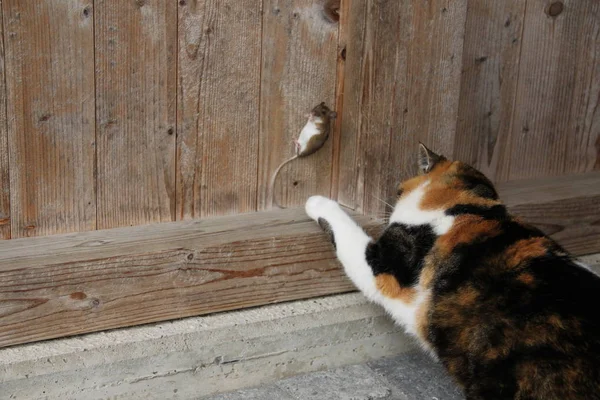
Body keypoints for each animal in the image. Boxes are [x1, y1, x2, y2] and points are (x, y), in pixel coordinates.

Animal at [304, 145, 600, 400]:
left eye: (398, 191)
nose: (389, 207)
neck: (464, 210)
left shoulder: (384, 268)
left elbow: (345, 229)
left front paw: (317, 202)